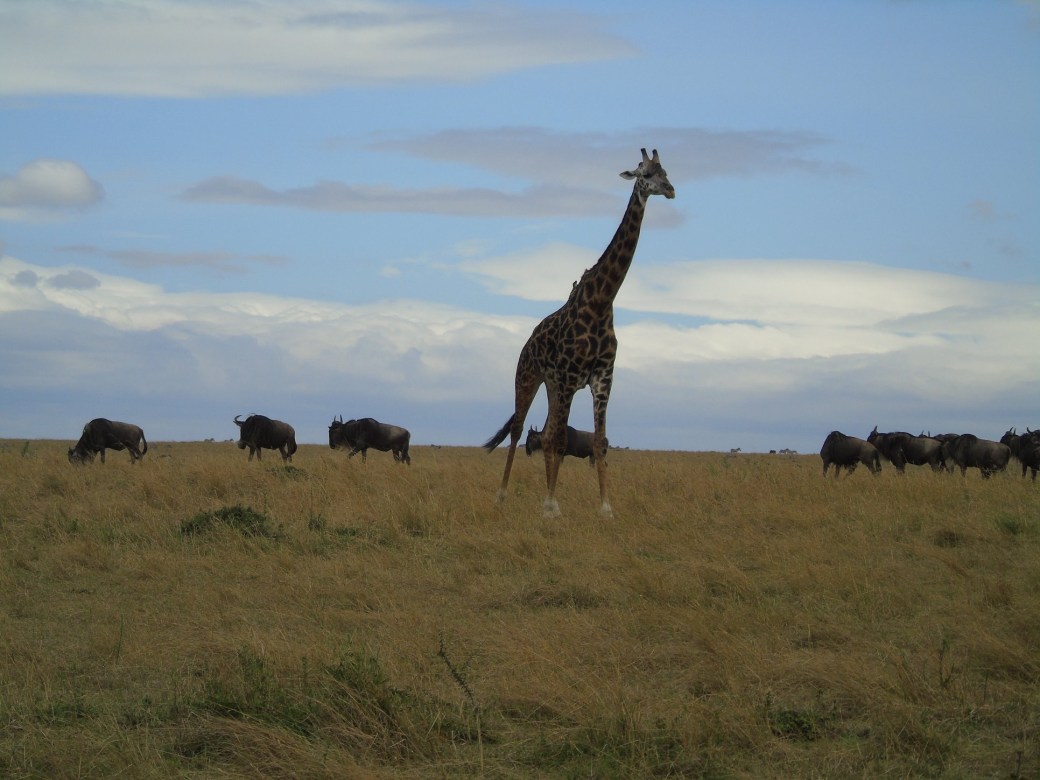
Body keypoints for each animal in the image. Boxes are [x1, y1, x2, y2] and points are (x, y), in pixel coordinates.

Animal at [484, 148, 675, 518]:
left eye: (667, 171)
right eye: (644, 174)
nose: (671, 190)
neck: (602, 301)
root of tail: (527, 343)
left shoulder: (602, 378)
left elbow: (597, 442)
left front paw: (605, 508)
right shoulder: (571, 377)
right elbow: (558, 440)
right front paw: (551, 505)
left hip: (553, 385)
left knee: (545, 432)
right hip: (529, 378)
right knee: (519, 430)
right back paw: (501, 495)